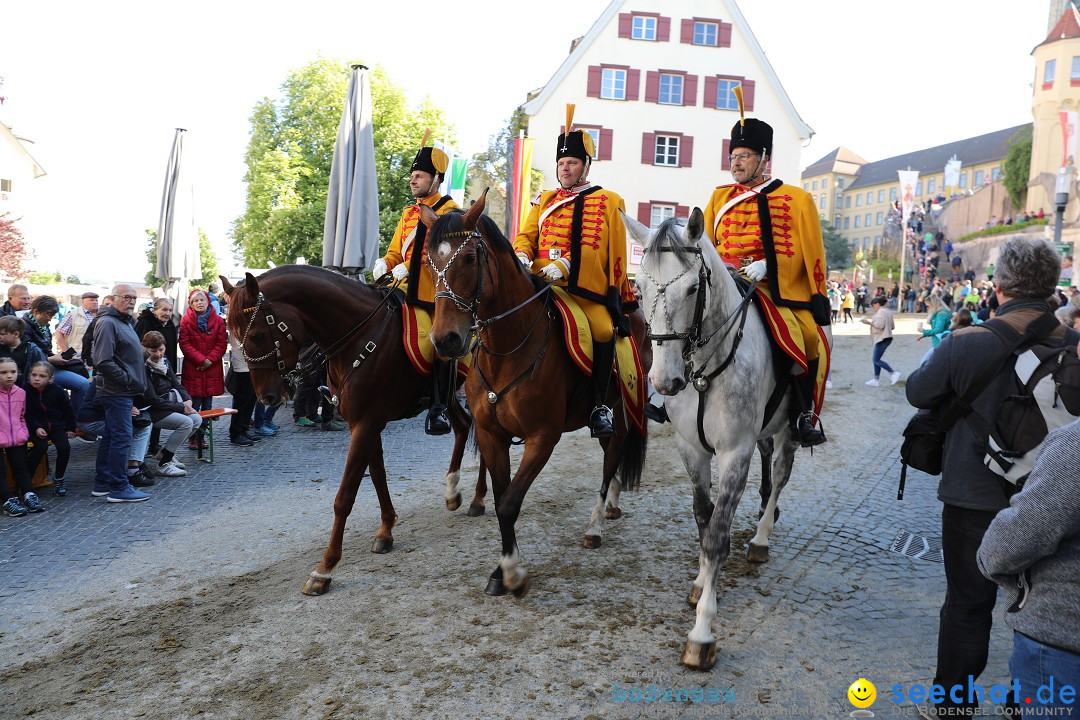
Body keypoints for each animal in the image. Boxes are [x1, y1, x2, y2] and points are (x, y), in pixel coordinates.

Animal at [221, 266, 488, 595]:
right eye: (235, 338)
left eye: (258, 335)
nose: (266, 397)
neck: (359, 336)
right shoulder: (363, 423)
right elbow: (377, 475)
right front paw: (386, 530)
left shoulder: (367, 423)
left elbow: (345, 496)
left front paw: (325, 568)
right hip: (449, 396)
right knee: (464, 427)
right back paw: (453, 492)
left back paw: (478, 499)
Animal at [419, 191, 648, 595]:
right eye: (430, 262)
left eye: (469, 257)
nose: (445, 340)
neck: (508, 349)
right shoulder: (492, 435)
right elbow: (501, 499)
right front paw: (501, 569)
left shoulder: (542, 438)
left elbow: (510, 503)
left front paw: (512, 573)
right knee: (614, 457)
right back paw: (612, 505)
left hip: (619, 415)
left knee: (610, 460)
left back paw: (595, 525)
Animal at [622, 208, 829, 669]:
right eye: (637, 287)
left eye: (692, 288)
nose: (664, 381)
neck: (703, 368)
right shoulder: (692, 449)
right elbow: (704, 517)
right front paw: (702, 581)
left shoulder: (735, 452)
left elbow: (717, 535)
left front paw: (702, 633)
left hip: (790, 430)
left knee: (781, 475)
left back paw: (761, 537)